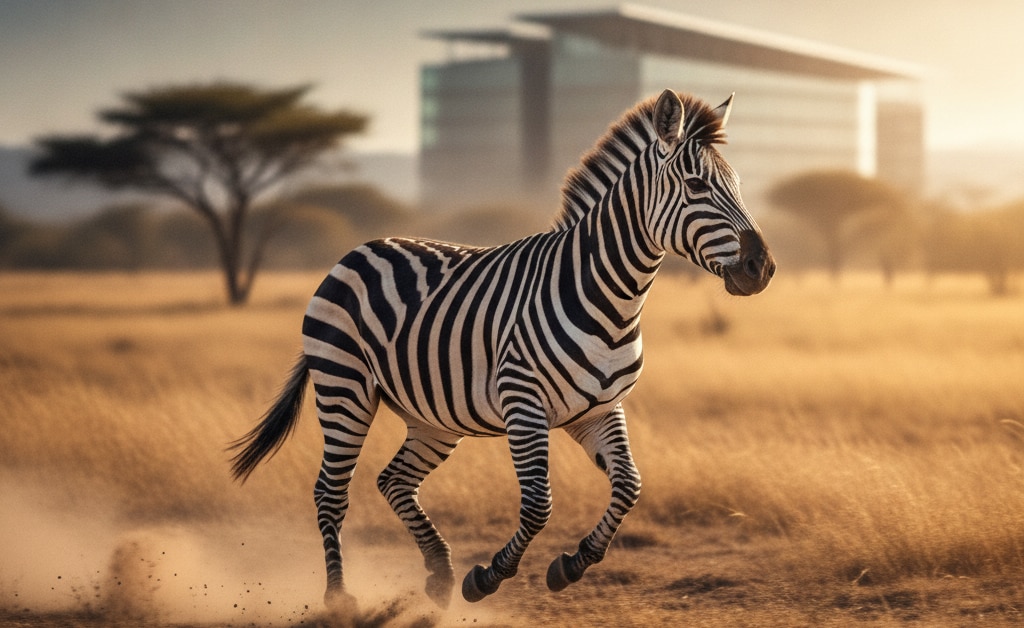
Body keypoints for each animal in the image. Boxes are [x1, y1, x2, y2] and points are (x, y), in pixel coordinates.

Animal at [230, 89, 775, 609]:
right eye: (697, 186)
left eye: (738, 185)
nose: (761, 268)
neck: (611, 298)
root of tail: (359, 249)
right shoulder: (523, 402)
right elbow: (538, 503)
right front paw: (489, 577)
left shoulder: (600, 409)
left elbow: (629, 487)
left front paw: (571, 564)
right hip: (344, 388)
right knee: (331, 491)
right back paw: (340, 596)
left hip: (433, 417)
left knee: (393, 480)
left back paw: (439, 574)